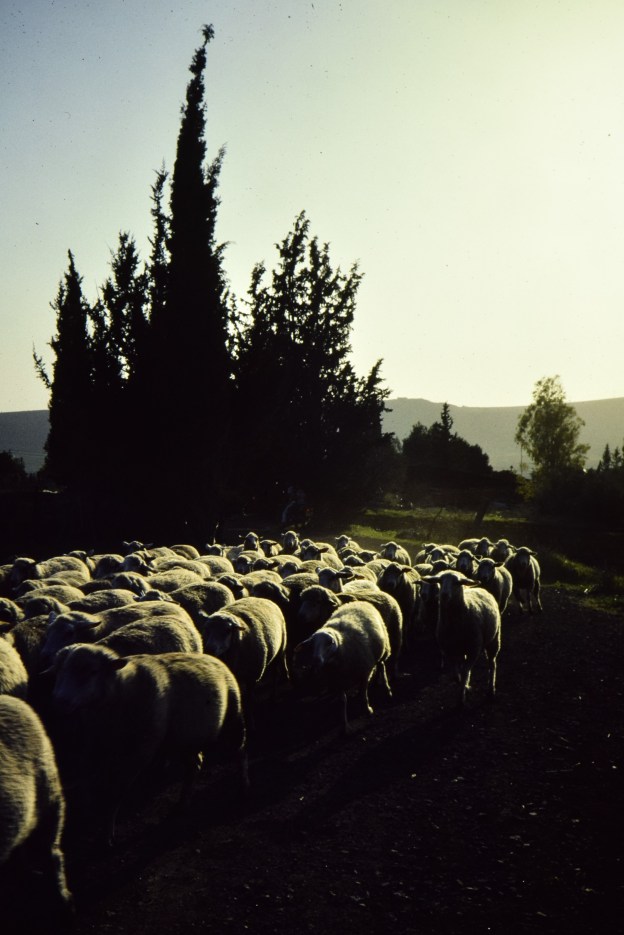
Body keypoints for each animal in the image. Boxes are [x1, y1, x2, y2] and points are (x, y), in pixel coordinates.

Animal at [51, 645, 248, 844]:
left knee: (239, 752)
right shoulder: (98, 749)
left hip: (233, 720)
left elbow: (116, 792)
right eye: (59, 671)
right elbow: (95, 789)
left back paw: (242, 786)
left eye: (92, 672)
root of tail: (213, 658)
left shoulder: (139, 752)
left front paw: (107, 835)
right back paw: (182, 804)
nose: (59, 701)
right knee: (194, 766)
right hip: (185, 738)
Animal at [291, 601, 392, 734]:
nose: (317, 660)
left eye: (330, 643)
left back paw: (387, 689)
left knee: (381, 665)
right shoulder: (336, 681)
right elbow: (342, 701)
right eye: (312, 645)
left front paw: (367, 709)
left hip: (383, 649)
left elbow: (363, 692)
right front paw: (345, 726)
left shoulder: (364, 672)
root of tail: (358, 601)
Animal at [423, 570, 501, 707]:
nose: (444, 595)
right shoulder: (449, 650)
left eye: (456, 583)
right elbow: (457, 674)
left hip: (494, 639)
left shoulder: (473, 649)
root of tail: (480, 588)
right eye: (440, 581)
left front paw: (461, 698)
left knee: (492, 664)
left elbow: (465, 671)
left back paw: (491, 690)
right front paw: (463, 686)